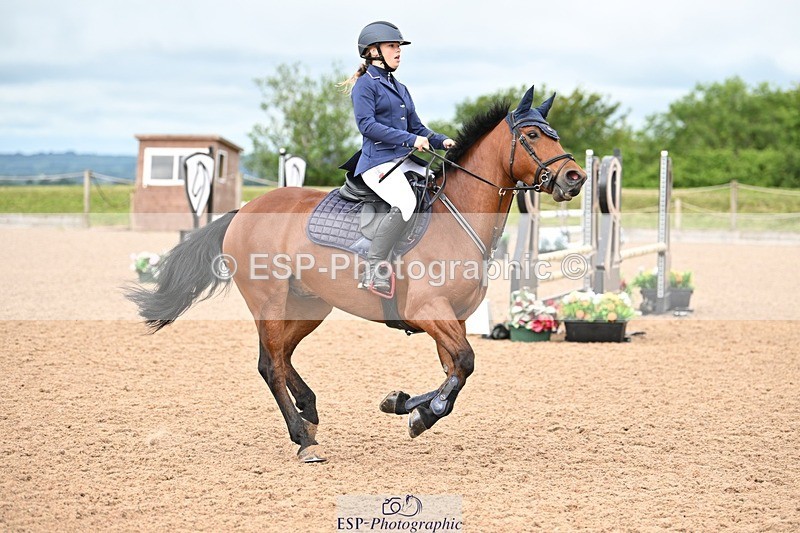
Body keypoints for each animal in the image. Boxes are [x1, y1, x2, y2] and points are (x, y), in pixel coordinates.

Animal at [126, 85, 587, 463]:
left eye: (554, 134)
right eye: (532, 136)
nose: (575, 177)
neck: (457, 218)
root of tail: (244, 210)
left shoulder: (453, 319)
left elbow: (454, 373)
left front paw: (405, 405)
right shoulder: (428, 311)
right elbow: (464, 364)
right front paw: (421, 414)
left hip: (309, 305)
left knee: (280, 357)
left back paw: (308, 412)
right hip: (269, 300)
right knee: (270, 365)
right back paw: (303, 439)